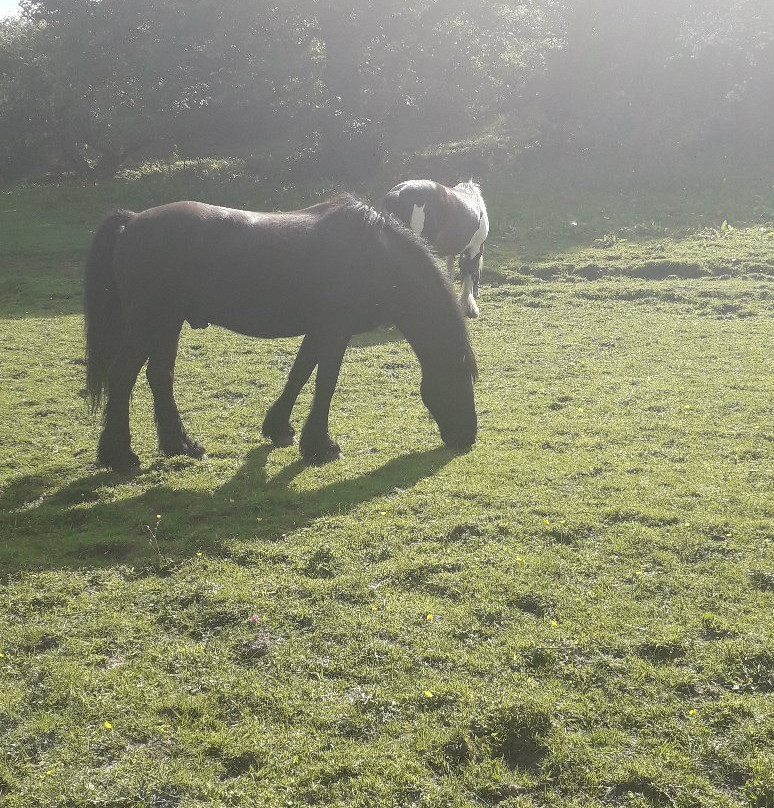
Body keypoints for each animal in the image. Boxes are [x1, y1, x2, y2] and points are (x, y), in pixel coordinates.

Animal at [88, 196, 482, 474]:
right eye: (462, 379)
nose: (467, 438)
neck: (378, 258)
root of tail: (132, 221)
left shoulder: (319, 330)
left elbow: (300, 373)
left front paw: (279, 429)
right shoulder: (335, 330)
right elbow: (325, 383)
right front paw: (321, 446)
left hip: (166, 324)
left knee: (159, 376)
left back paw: (180, 445)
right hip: (149, 322)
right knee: (123, 377)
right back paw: (119, 455)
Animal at [382, 180, 492, 318]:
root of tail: (397, 194)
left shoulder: (450, 252)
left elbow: (450, 271)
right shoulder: (475, 249)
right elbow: (468, 277)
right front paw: (469, 307)